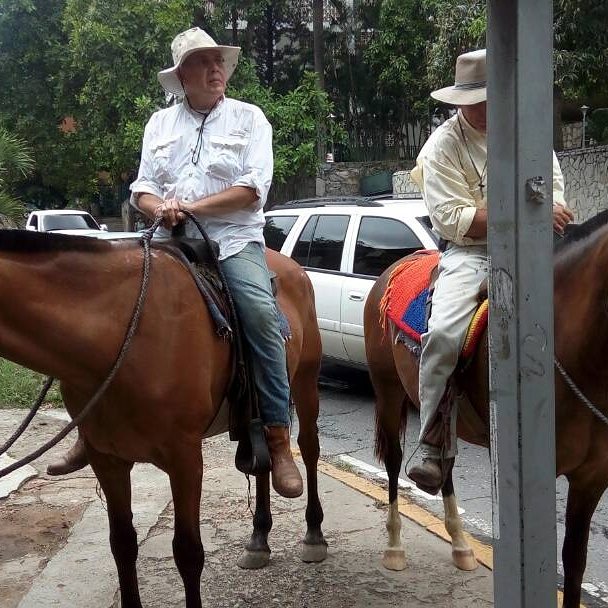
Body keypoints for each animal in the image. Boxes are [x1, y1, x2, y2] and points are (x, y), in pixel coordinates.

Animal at [0, 230, 328, 608]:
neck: (119, 333)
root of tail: (292, 267)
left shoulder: (184, 459)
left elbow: (188, 552)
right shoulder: (106, 458)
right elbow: (122, 542)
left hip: (306, 380)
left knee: (308, 447)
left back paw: (314, 533)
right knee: (262, 462)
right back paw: (259, 539)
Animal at [364, 222, 608, 608]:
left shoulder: (592, 478)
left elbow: (574, 561)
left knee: (444, 462)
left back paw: (461, 545)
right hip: (388, 392)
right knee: (393, 461)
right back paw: (394, 547)